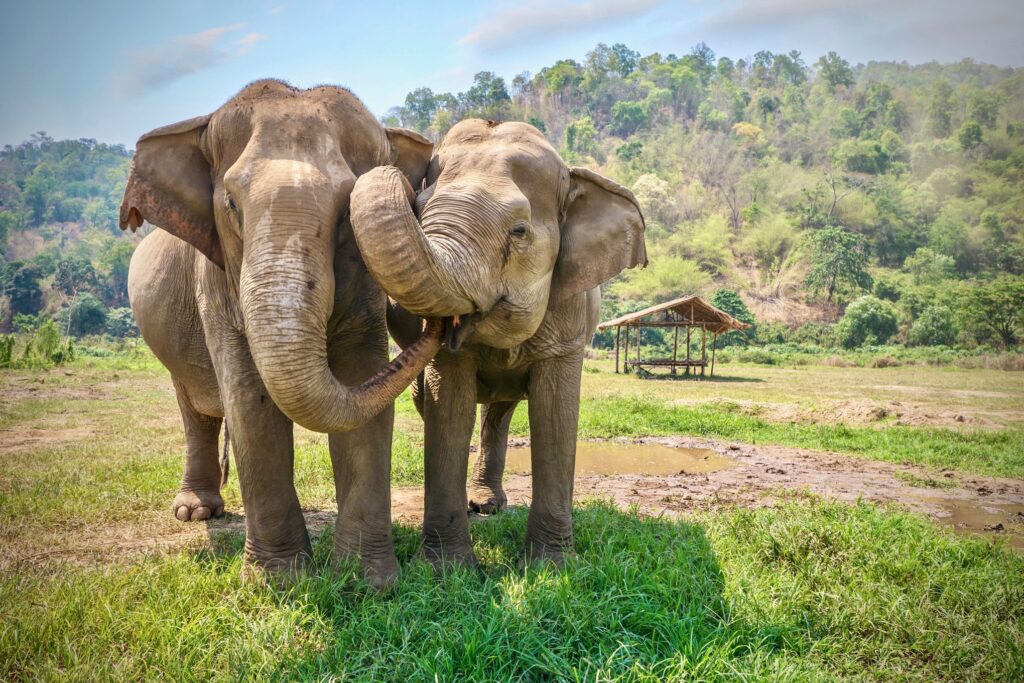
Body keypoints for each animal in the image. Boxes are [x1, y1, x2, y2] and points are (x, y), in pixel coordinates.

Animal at [119, 77, 440, 585]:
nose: (442, 323)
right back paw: (195, 512)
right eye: (231, 203)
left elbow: (361, 382)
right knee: (195, 409)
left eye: (347, 212)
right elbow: (251, 403)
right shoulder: (216, 279)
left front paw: (367, 582)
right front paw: (280, 582)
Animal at [348, 117, 643, 565]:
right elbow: (449, 408)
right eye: (419, 210)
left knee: (499, 412)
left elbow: (556, 413)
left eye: (519, 230)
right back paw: (480, 505)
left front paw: (552, 565)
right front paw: (446, 569)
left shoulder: (570, 318)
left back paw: (489, 504)